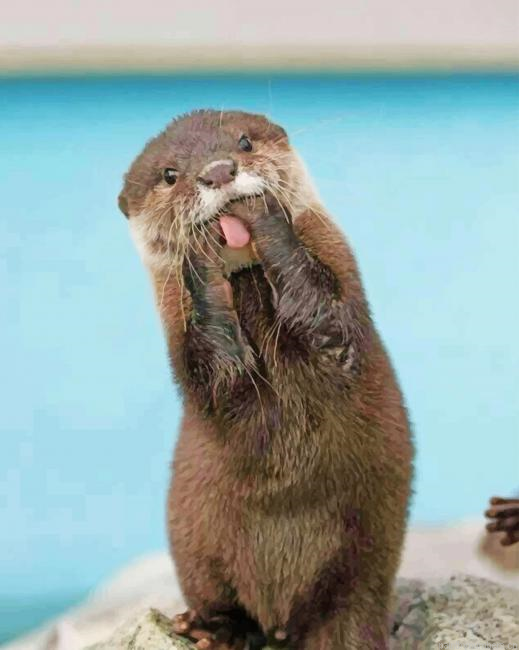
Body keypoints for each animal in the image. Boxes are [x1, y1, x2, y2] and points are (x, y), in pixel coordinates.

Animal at [118, 110, 414, 649]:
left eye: (244, 142)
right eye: (170, 174)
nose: (217, 171)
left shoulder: (339, 295)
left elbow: (328, 319)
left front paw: (264, 213)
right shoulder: (189, 347)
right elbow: (217, 371)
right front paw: (199, 254)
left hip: (358, 572)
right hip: (199, 550)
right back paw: (215, 628)